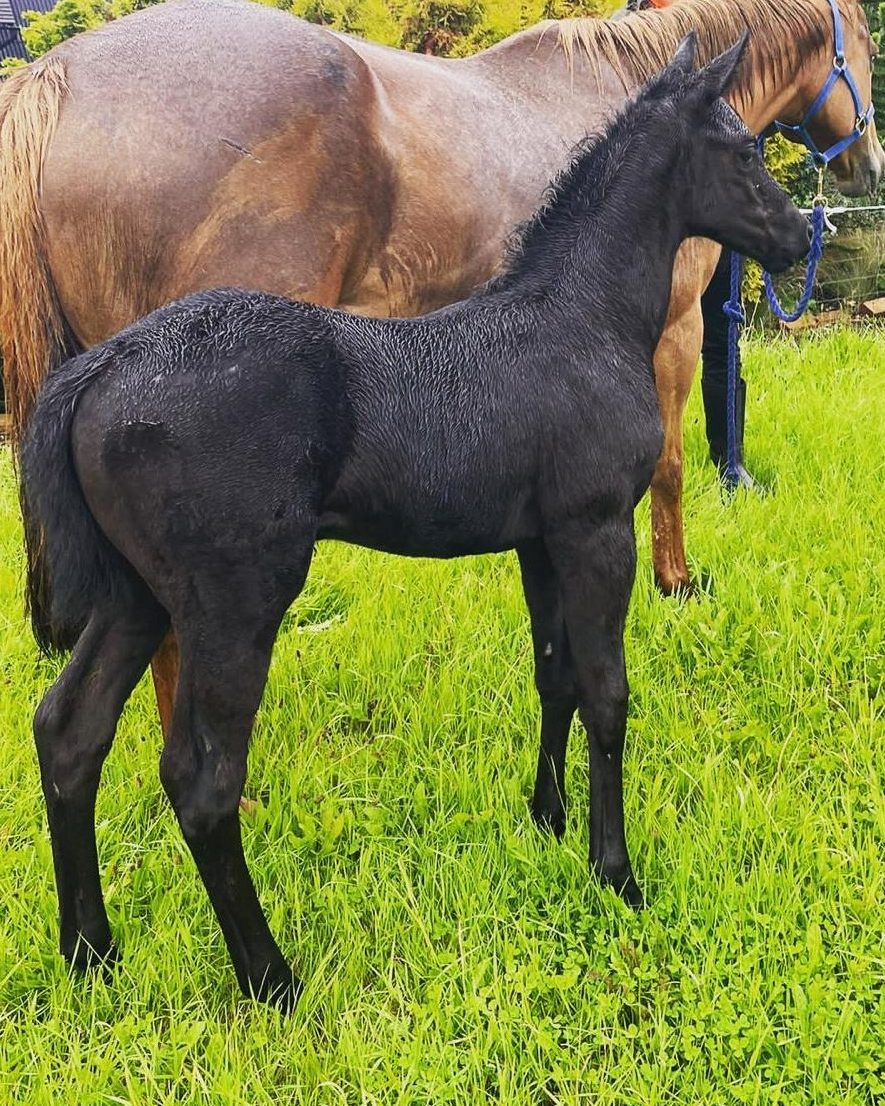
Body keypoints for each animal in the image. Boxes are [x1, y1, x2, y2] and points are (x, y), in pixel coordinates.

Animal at [0, 0, 879, 742]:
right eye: (867, 42)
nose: (864, 168)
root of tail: (58, 75)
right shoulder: (677, 329)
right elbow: (667, 466)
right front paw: (678, 582)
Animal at [21, 37, 810, 1009]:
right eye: (742, 153)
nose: (798, 238)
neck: (576, 320)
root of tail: (99, 368)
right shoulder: (595, 531)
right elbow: (608, 692)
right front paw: (616, 873)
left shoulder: (540, 541)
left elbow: (554, 675)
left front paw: (545, 820)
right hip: (235, 601)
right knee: (201, 781)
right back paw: (271, 979)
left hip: (136, 594)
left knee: (70, 734)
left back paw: (90, 953)